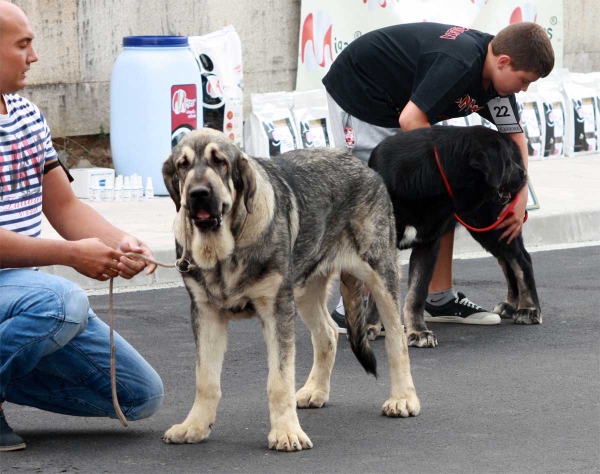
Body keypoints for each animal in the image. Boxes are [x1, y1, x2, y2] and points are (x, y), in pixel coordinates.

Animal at [162, 129, 420, 452]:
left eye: (219, 162)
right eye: (182, 165)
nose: (198, 193)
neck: (225, 248)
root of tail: (362, 165)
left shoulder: (277, 309)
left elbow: (279, 379)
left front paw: (286, 432)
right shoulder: (206, 313)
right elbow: (205, 379)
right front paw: (194, 426)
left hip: (379, 274)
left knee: (396, 339)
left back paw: (403, 398)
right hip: (305, 289)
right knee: (328, 333)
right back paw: (315, 390)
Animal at [368, 126, 540, 348]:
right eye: (507, 161)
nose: (524, 175)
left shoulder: (428, 244)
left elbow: (416, 294)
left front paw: (418, 332)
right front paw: (372, 326)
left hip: (490, 224)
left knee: (520, 259)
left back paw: (528, 309)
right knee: (506, 260)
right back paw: (511, 305)